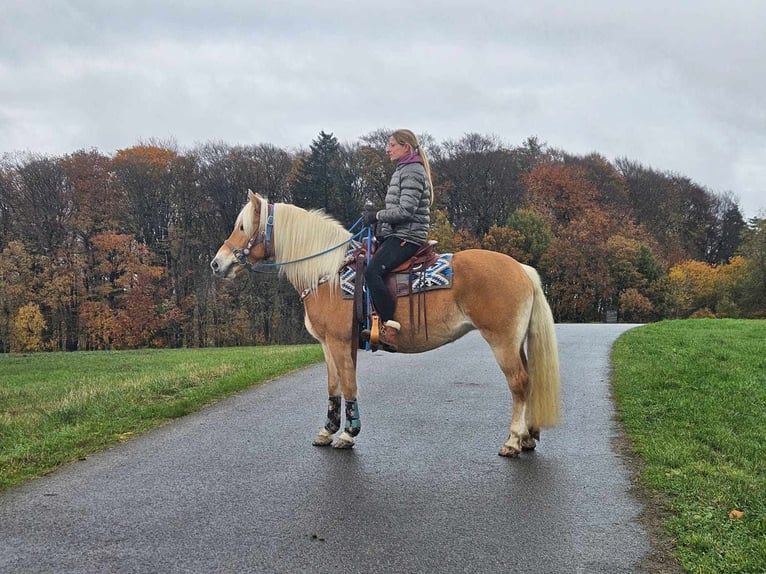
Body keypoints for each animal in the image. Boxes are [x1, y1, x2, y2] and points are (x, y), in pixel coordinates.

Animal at [213, 192, 560, 460]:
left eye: (243, 226)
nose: (217, 263)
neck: (329, 274)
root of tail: (521, 268)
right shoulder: (332, 344)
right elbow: (334, 386)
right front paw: (327, 431)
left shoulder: (339, 342)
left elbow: (349, 386)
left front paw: (348, 435)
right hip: (516, 343)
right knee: (528, 381)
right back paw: (528, 437)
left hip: (502, 342)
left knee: (519, 384)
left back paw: (513, 441)